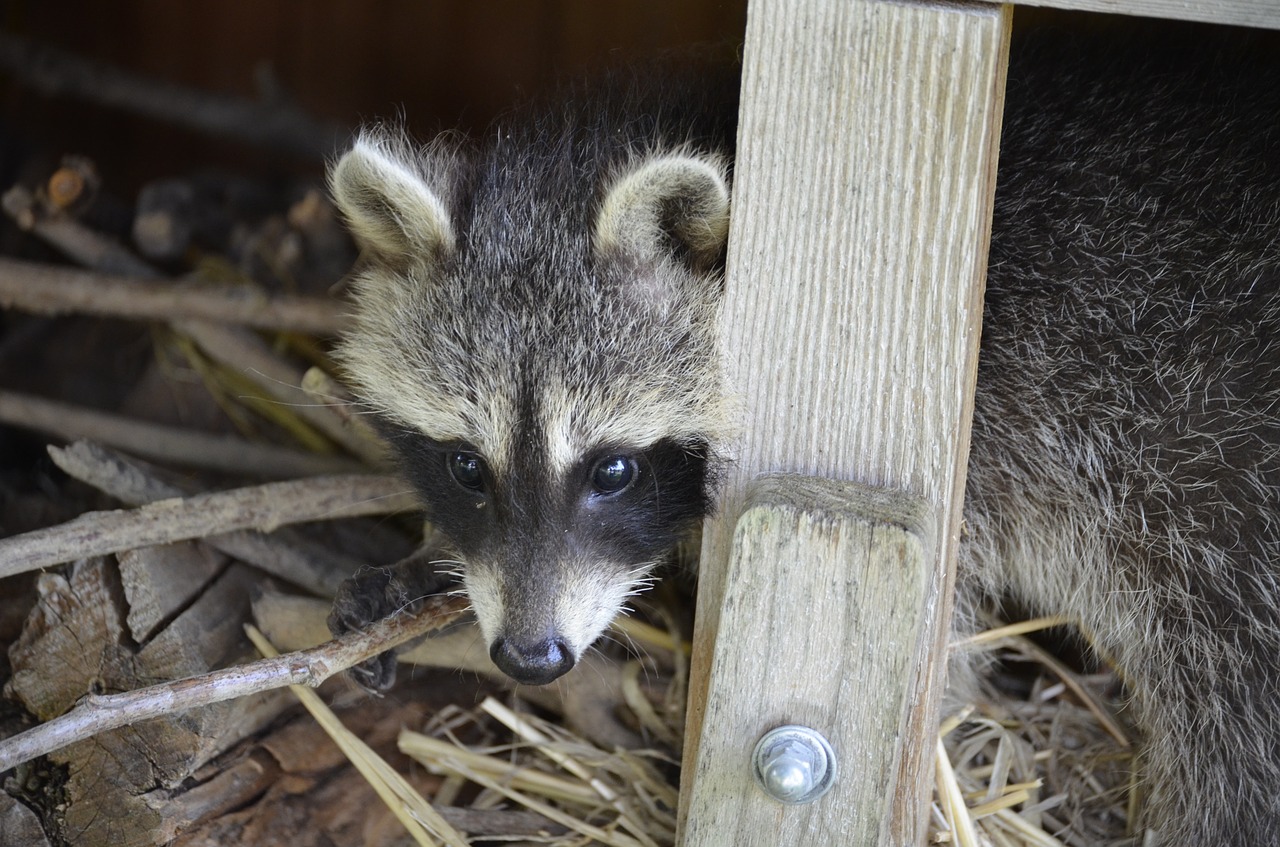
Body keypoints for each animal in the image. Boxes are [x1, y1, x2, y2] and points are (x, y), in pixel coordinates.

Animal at [330, 26, 1280, 847]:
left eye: (614, 470)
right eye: (465, 465)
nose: (530, 656)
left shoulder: (989, 446)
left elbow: (943, 654)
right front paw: (423, 563)